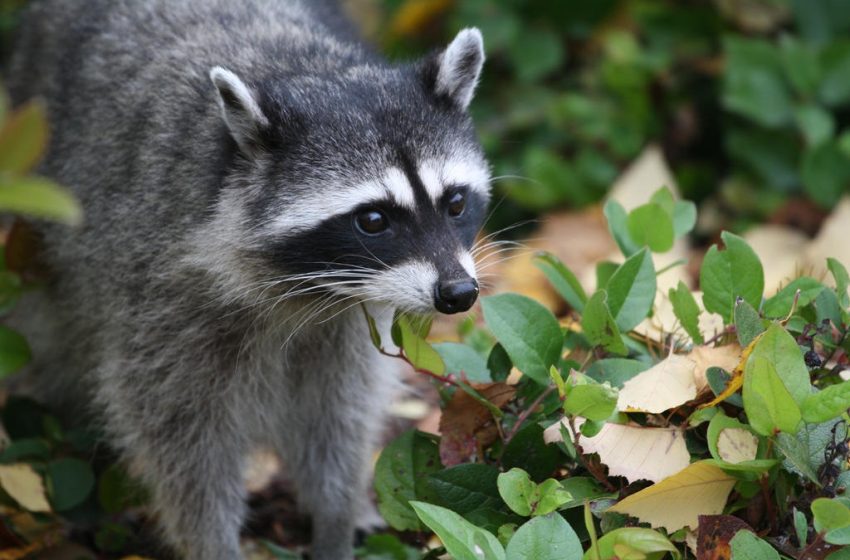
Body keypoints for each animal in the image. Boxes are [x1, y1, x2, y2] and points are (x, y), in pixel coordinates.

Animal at [6, 1, 486, 560]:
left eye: (455, 203)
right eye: (373, 220)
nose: (458, 294)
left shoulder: (348, 318)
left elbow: (338, 413)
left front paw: (336, 516)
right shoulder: (160, 292)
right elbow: (181, 437)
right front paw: (212, 541)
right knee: (57, 349)